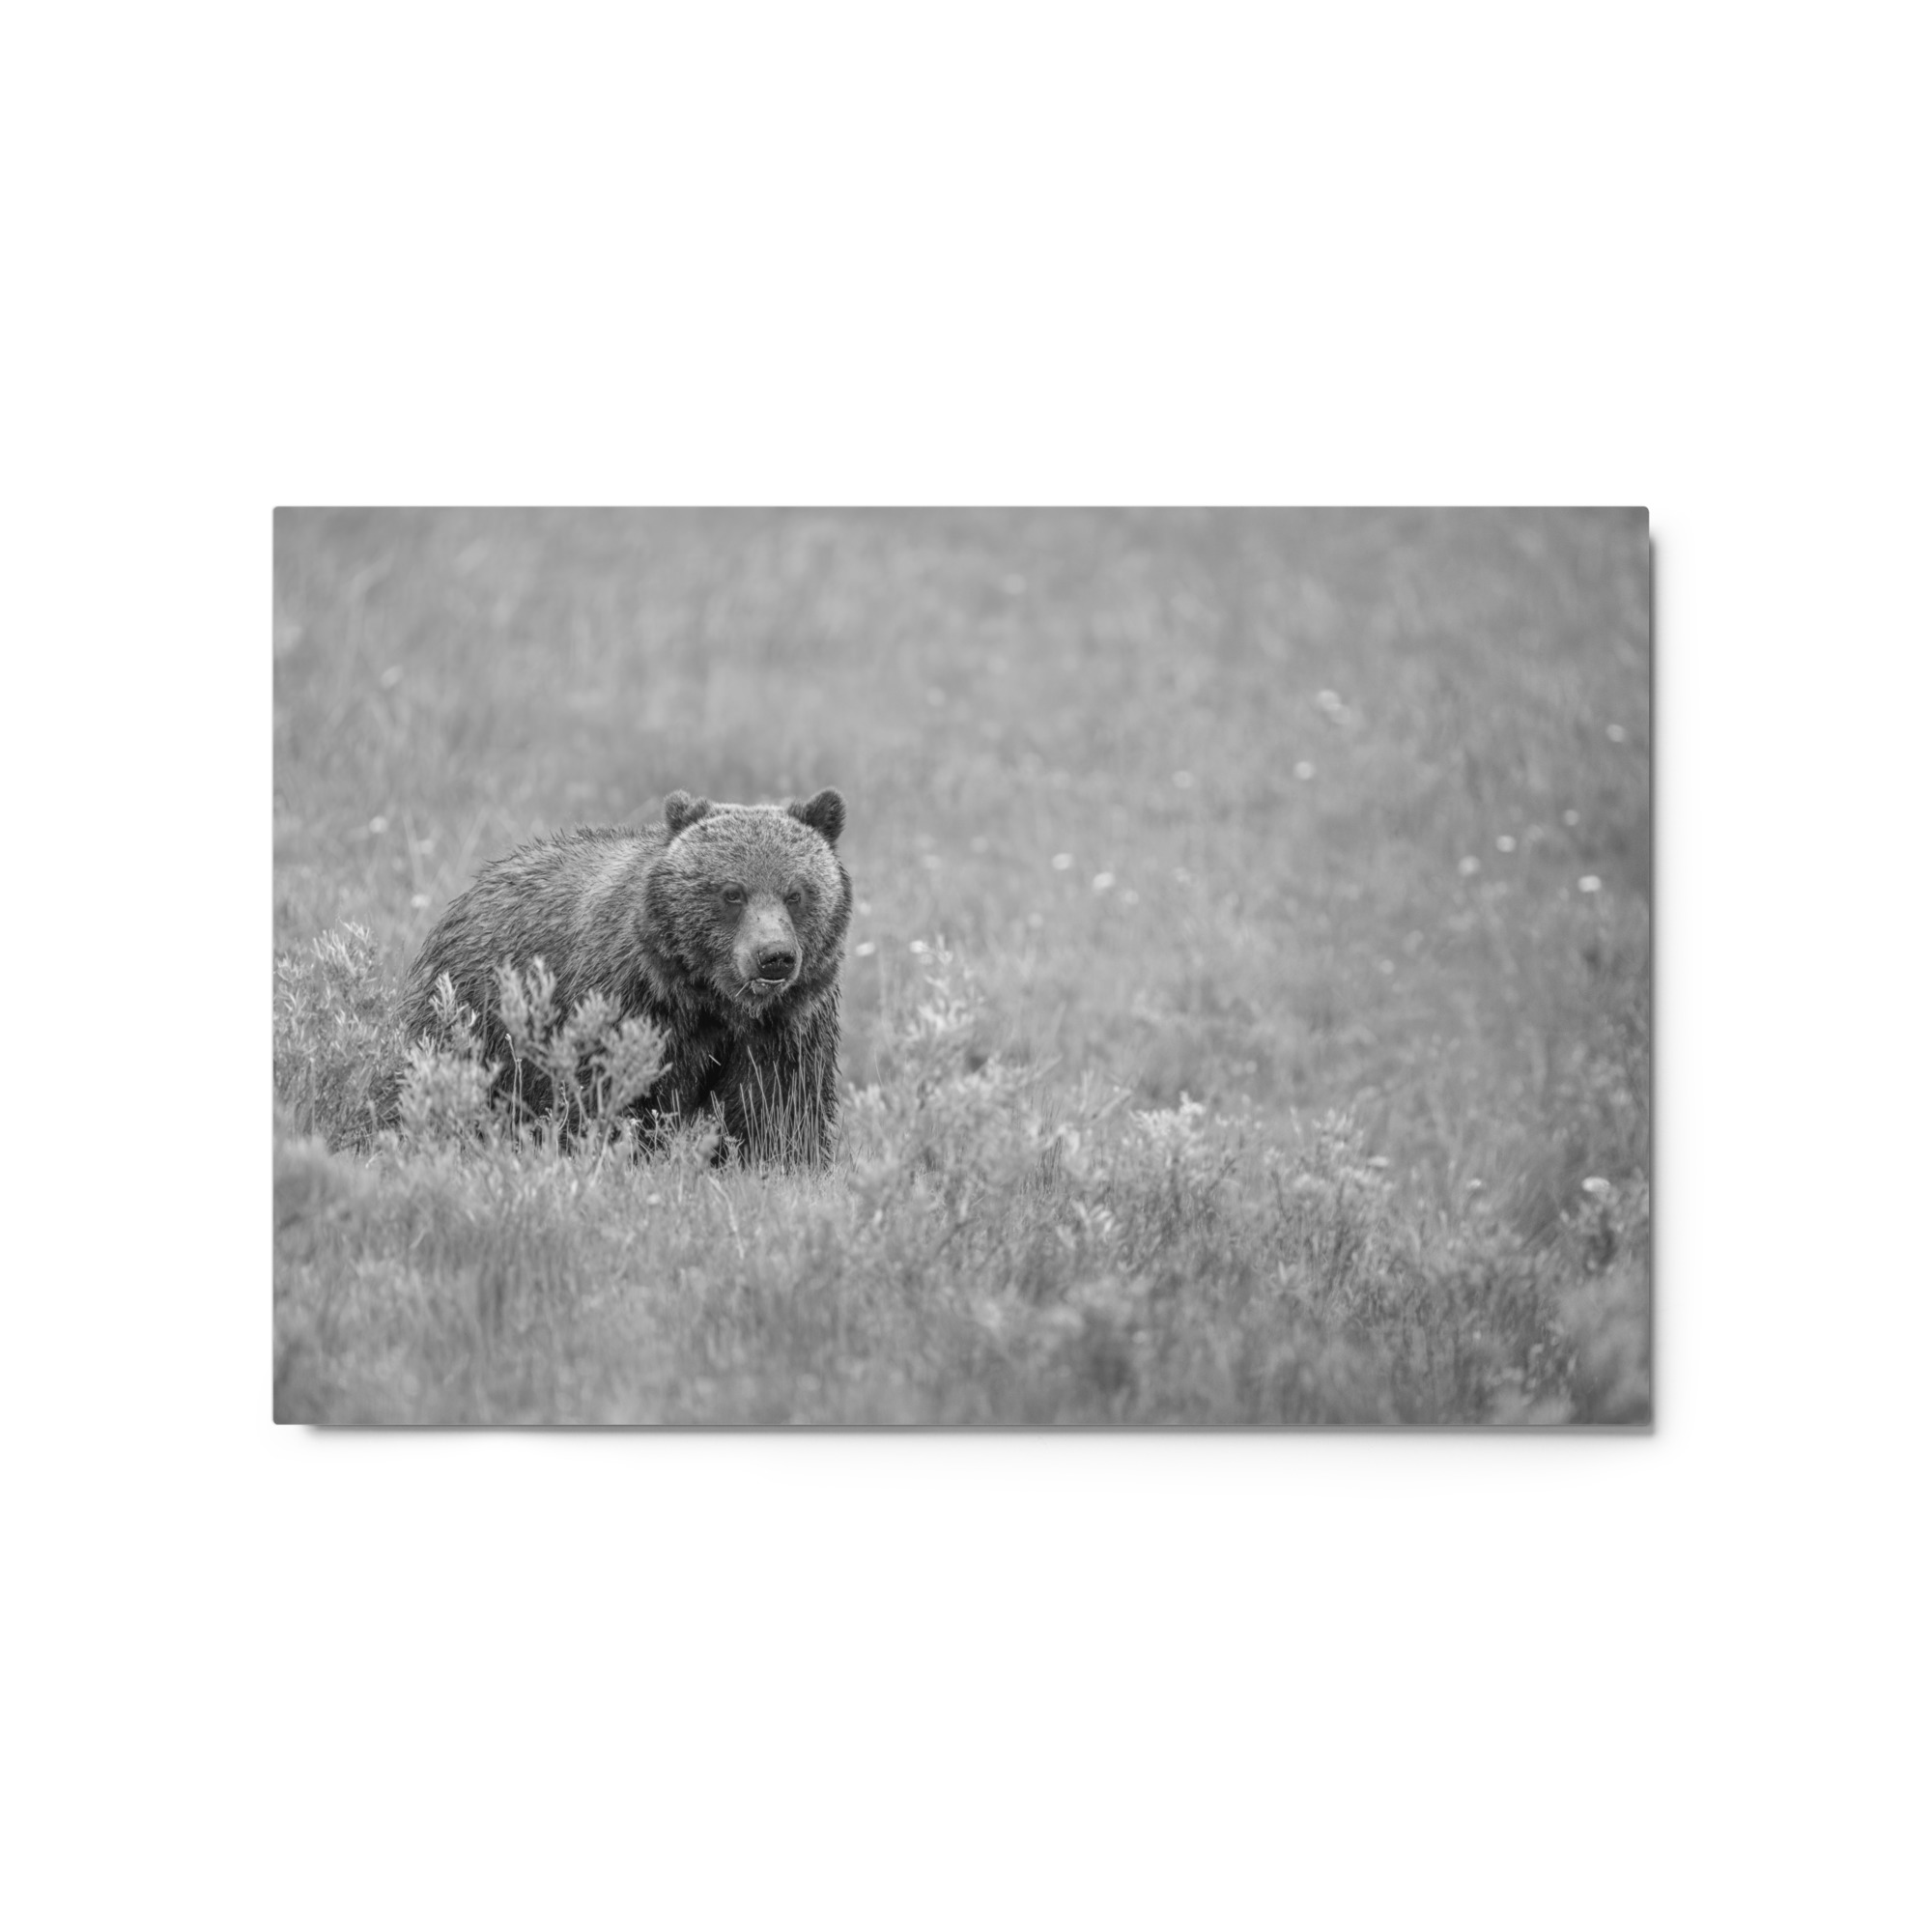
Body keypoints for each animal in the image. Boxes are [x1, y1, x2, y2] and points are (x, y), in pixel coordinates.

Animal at [399, 787, 851, 1165]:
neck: (712, 999)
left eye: (796, 893)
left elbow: (778, 1109)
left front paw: (780, 1163)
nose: (774, 957)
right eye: (732, 892)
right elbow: (615, 1094)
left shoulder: (786, 1026)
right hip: (475, 1014)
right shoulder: (630, 1003)